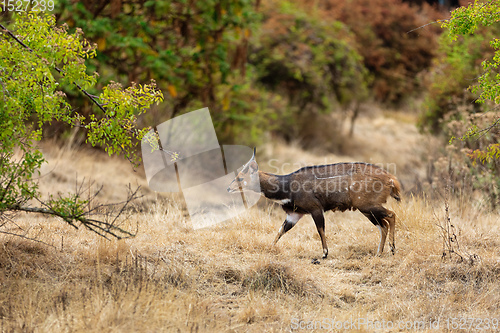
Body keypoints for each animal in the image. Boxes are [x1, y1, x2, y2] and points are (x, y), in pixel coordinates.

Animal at [228, 148, 402, 260]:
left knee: (391, 216)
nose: (229, 188)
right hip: (366, 210)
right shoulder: (294, 214)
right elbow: (281, 231)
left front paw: (324, 254)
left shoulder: (316, 209)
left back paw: (393, 249)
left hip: (367, 206)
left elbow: (320, 229)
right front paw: (270, 247)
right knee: (384, 225)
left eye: (240, 178)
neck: (287, 186)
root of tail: (391, 179)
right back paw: (379, 253)